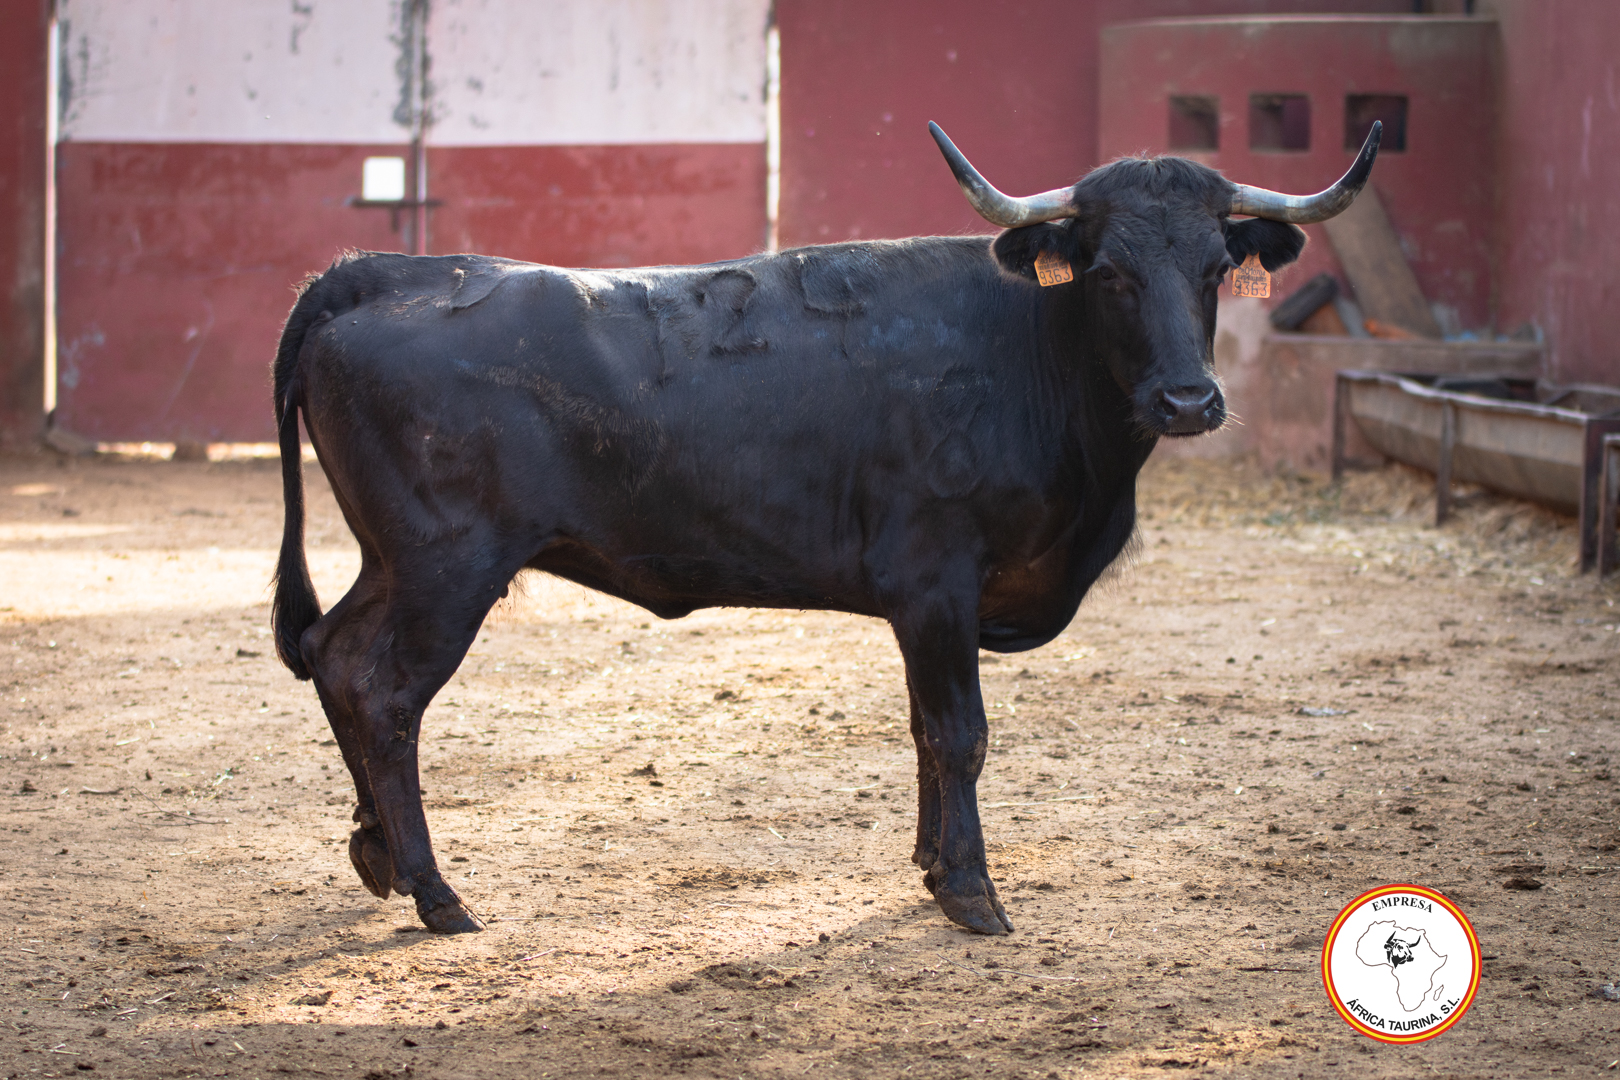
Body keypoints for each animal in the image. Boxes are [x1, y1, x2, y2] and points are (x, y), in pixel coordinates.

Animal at [271, 121, 1381, 935]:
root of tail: (386, 270)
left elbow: (926, 732)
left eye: (1216, 267)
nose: (1189, 399)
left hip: (394, 562)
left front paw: (933, 868)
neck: (1027, 353)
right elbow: (960, 732)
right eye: (1106, 270)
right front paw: (972, 892)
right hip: (446, 568)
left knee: (332, 654)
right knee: (382, 690)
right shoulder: (935, 580)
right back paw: (435, 892)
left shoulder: (931, 608)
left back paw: (377, 857)